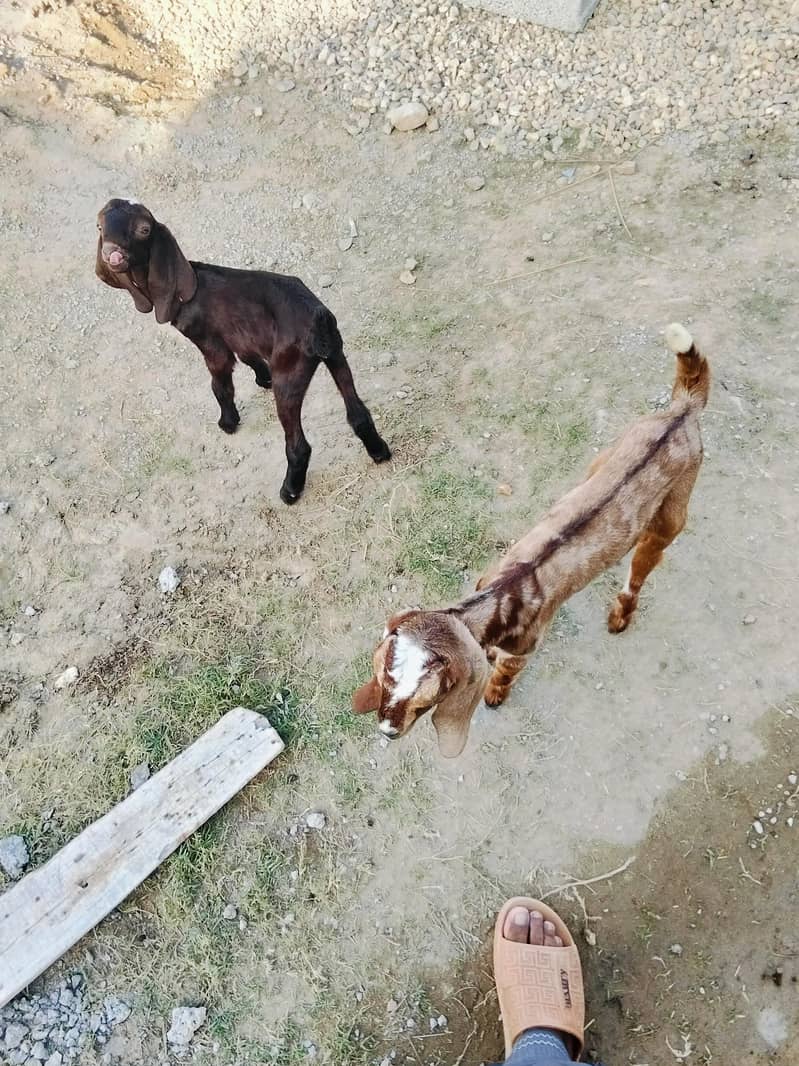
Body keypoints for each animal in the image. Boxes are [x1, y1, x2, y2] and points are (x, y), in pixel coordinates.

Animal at [95, 199, 391, 503]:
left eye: (144, 229)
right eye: (99, 226)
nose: (112, 255)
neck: (189, 286)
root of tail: (318, 320)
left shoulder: (211, 344)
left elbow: (220, 385)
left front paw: (228, 423)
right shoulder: (239, 335)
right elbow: (248, 356)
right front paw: (262, 378)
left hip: (290, 373)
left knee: (299, 445)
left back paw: (289, 492)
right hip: (337, 354)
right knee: (358, 414)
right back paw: (379, 453)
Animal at [353, 325, 711, 756]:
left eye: (427, 702)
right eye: (385, 680)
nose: (388, 731)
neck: (501, 596)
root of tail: (683, 412)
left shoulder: (526, 645)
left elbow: (506, 671)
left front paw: (494, 694)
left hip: (673, 509)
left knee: (644, 564)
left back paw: (621, 615)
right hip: (607, 456)